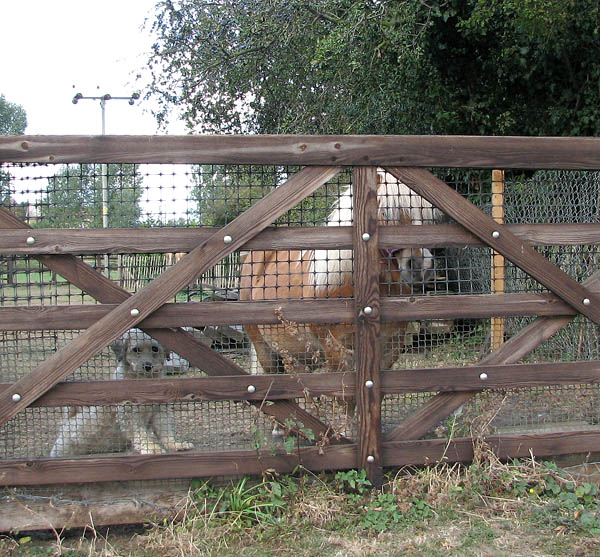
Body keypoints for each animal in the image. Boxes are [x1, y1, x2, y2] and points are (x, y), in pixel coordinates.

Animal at [51, 328, 195, 454]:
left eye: (155, 349)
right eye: (136, 350)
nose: (147, 366)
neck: (145, 382)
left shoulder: (160, 411)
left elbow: (166, 431)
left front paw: (175, 444)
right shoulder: (129, 415)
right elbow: (142, 435)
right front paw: (152, 449)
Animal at [239, 167, 440, 380]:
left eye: (423, 214)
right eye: (385, 211)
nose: (420, 265)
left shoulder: (390, 349)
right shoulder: (336, 351)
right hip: (265, 352)